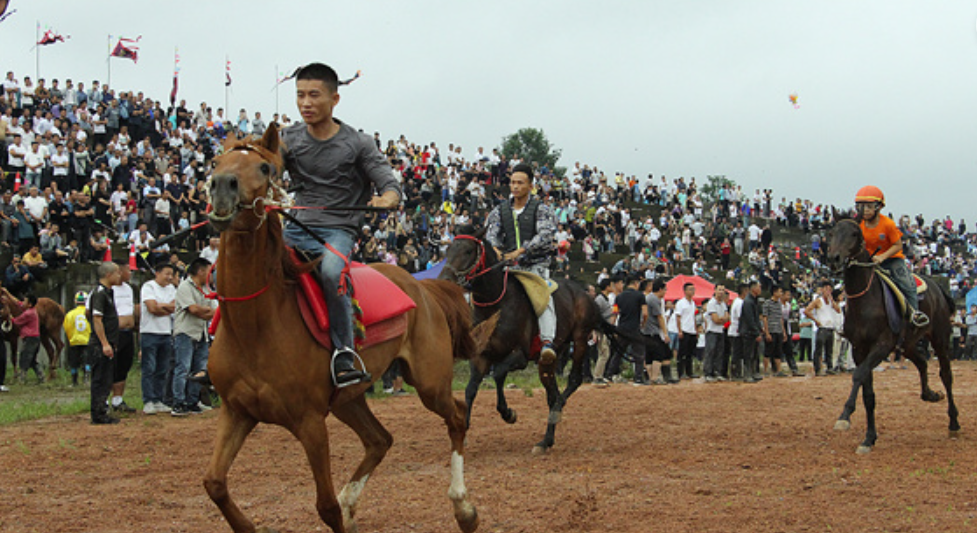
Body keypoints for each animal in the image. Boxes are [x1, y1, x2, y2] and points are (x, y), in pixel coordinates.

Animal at [203, 124, 484, 532]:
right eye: (216, 161)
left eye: (265, 168)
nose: (222, 186)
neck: (255, 325)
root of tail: (422, 286)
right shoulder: (236, 411)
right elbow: (214, 483)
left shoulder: (309, 422)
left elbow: (324, 507)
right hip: (349, 399)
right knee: (380, 440)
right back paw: (354, 502)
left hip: (430, 382)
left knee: (457, 416)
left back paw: (463, 508)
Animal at [440, 227, 612, 456]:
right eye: (448, 249)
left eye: (468, 251)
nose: (445, 279)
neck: (496, 305)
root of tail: (586, 295)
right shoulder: (481, 355)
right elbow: (471, 388)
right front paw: (463, 430)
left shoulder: (519, 356)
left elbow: (498, 374)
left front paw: (508, 413)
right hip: (552, 356)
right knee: (551, 391)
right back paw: (546, 440)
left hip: (580, 339)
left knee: (572, 381)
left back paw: (556, 411)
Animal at [828, 216, 956, 454]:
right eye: (832, 232)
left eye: (854, 233)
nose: (834, 258)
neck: (865, 300)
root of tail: (938, 288)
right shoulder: (860, 349)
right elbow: (868, 394)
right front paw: (868, 438)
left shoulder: (882, 346)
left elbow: (858, 375)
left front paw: (845, 415)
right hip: (907, 344)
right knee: (922, 362)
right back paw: (930, 394)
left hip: (940, 339)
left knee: (946, 375)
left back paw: (954, 422)